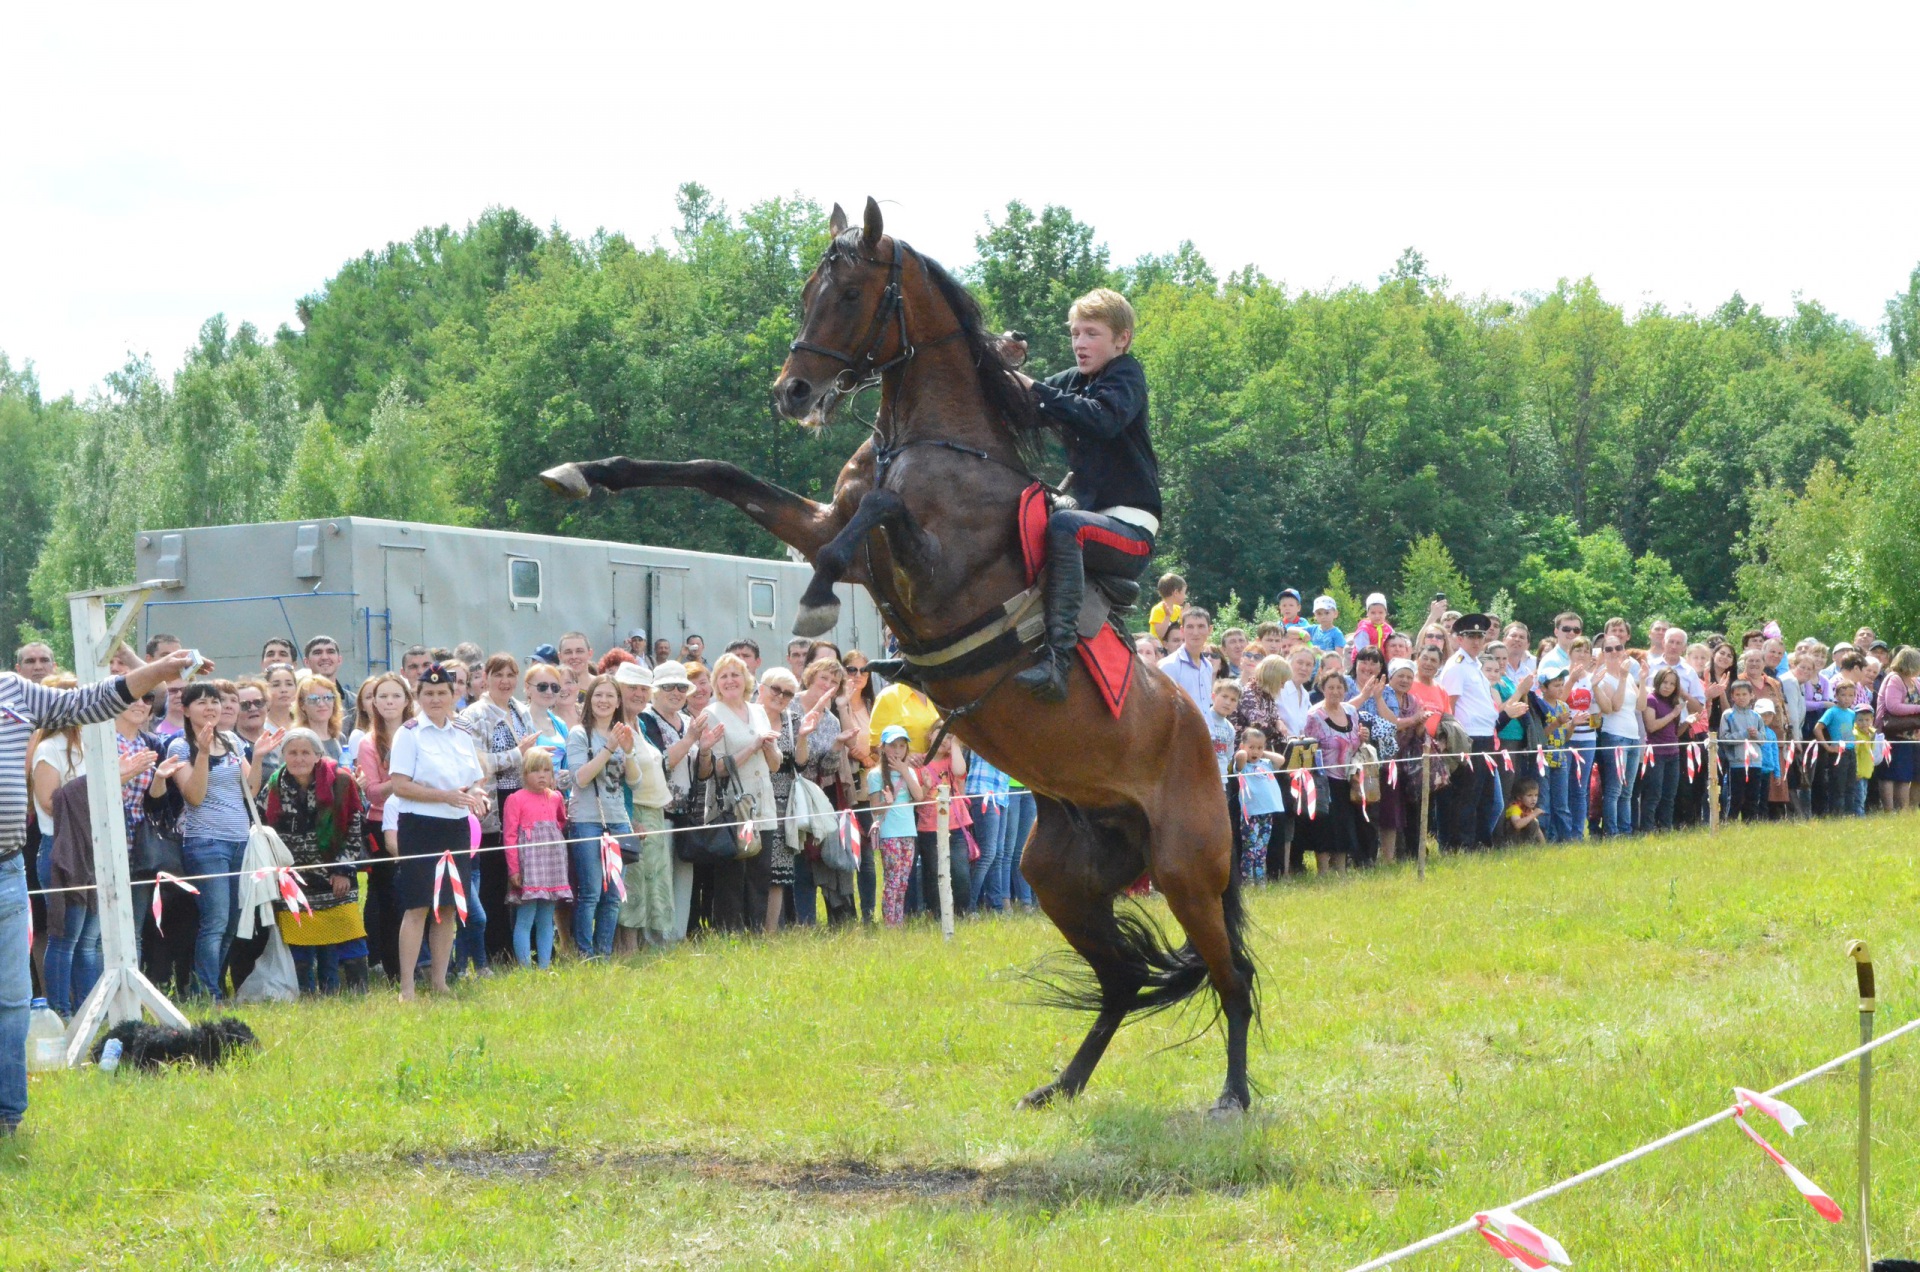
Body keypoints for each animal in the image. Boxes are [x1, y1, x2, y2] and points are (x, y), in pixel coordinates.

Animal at [545, 199, 1259, 1114]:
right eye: (809, 290)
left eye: (849, 292)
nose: (793, 392)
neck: (933, 442)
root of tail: (1210, 744)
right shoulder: (826, 522)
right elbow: (718, 471)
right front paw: (583, 471)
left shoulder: (927, 565)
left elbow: (876, 510)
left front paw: (815, 596)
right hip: (1063, 875)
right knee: (1122, 980)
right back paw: (1061, 1085)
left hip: (1186, 871)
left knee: (1230, 975)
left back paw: (1232, 1095)